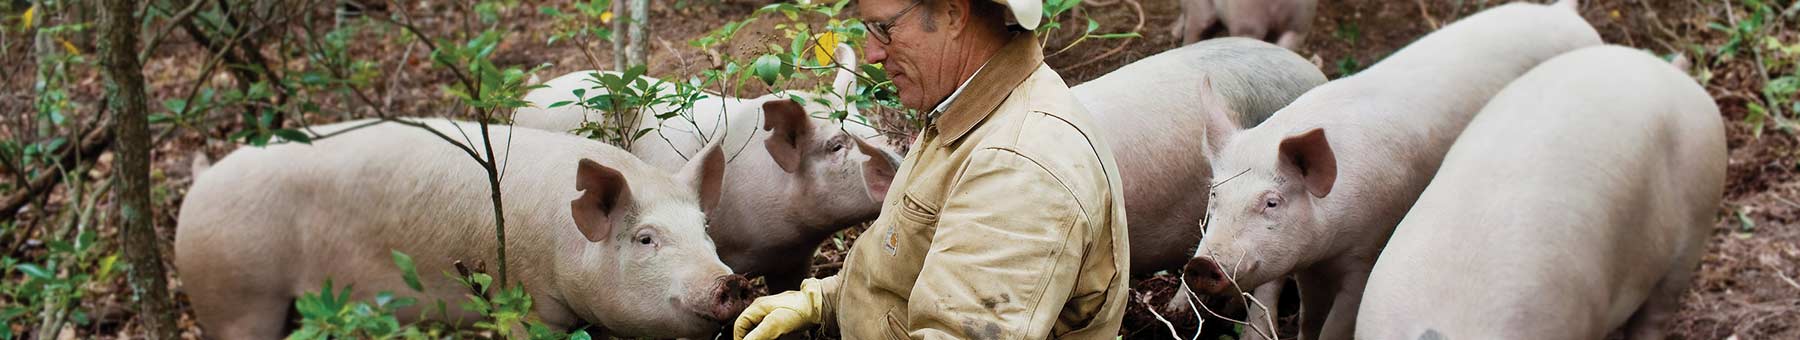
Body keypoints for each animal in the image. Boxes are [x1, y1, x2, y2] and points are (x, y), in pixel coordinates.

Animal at [175, 117, 745, 338]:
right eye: (646, 238)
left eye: (704, 227)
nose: (731, 282)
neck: (562, 240)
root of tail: (199, 185)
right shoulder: (522, 301)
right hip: (235, 296)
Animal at [1180, 1, 1605, 338]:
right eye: (1215, 195)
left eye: (1272, 202)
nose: (1201, 263)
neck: (1328, 244)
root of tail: (1564, 12)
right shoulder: (1309, 264)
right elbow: (1309, 318)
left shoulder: (1367, 254)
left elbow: (1336, 325)